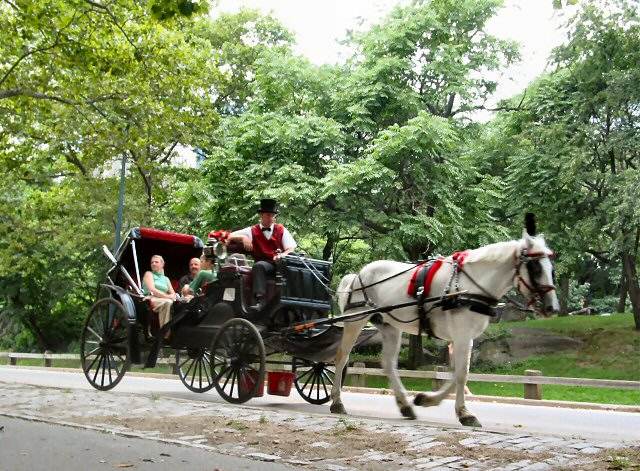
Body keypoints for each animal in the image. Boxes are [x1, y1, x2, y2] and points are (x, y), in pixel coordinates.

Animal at [328, 218, 556, 428]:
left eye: (551, 268)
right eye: (535, 267)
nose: (552, 307)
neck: (468, 286)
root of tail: (357, 275)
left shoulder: (464, 337)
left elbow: (458, 374)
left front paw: (427, 399)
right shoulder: (461, 336)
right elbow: (461, 374)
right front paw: (464, 413)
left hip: (390, 327)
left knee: (389, 364)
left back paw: (405, 405)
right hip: (355, 320)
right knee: (342, 357)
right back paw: (337, 401)